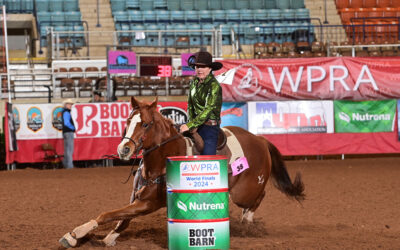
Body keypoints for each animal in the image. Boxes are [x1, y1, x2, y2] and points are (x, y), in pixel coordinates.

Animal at [58, 96, 304, 247]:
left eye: (145, 124)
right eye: (128, 121)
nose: (124, 149)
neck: (162, 157)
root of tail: (260, 139)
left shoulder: (149, 203)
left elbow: (107, 214)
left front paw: (75, 234)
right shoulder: (138, 198)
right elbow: (122, 218)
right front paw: (108, 238)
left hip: (244, 191)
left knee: (259, 196)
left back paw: (247, 222)